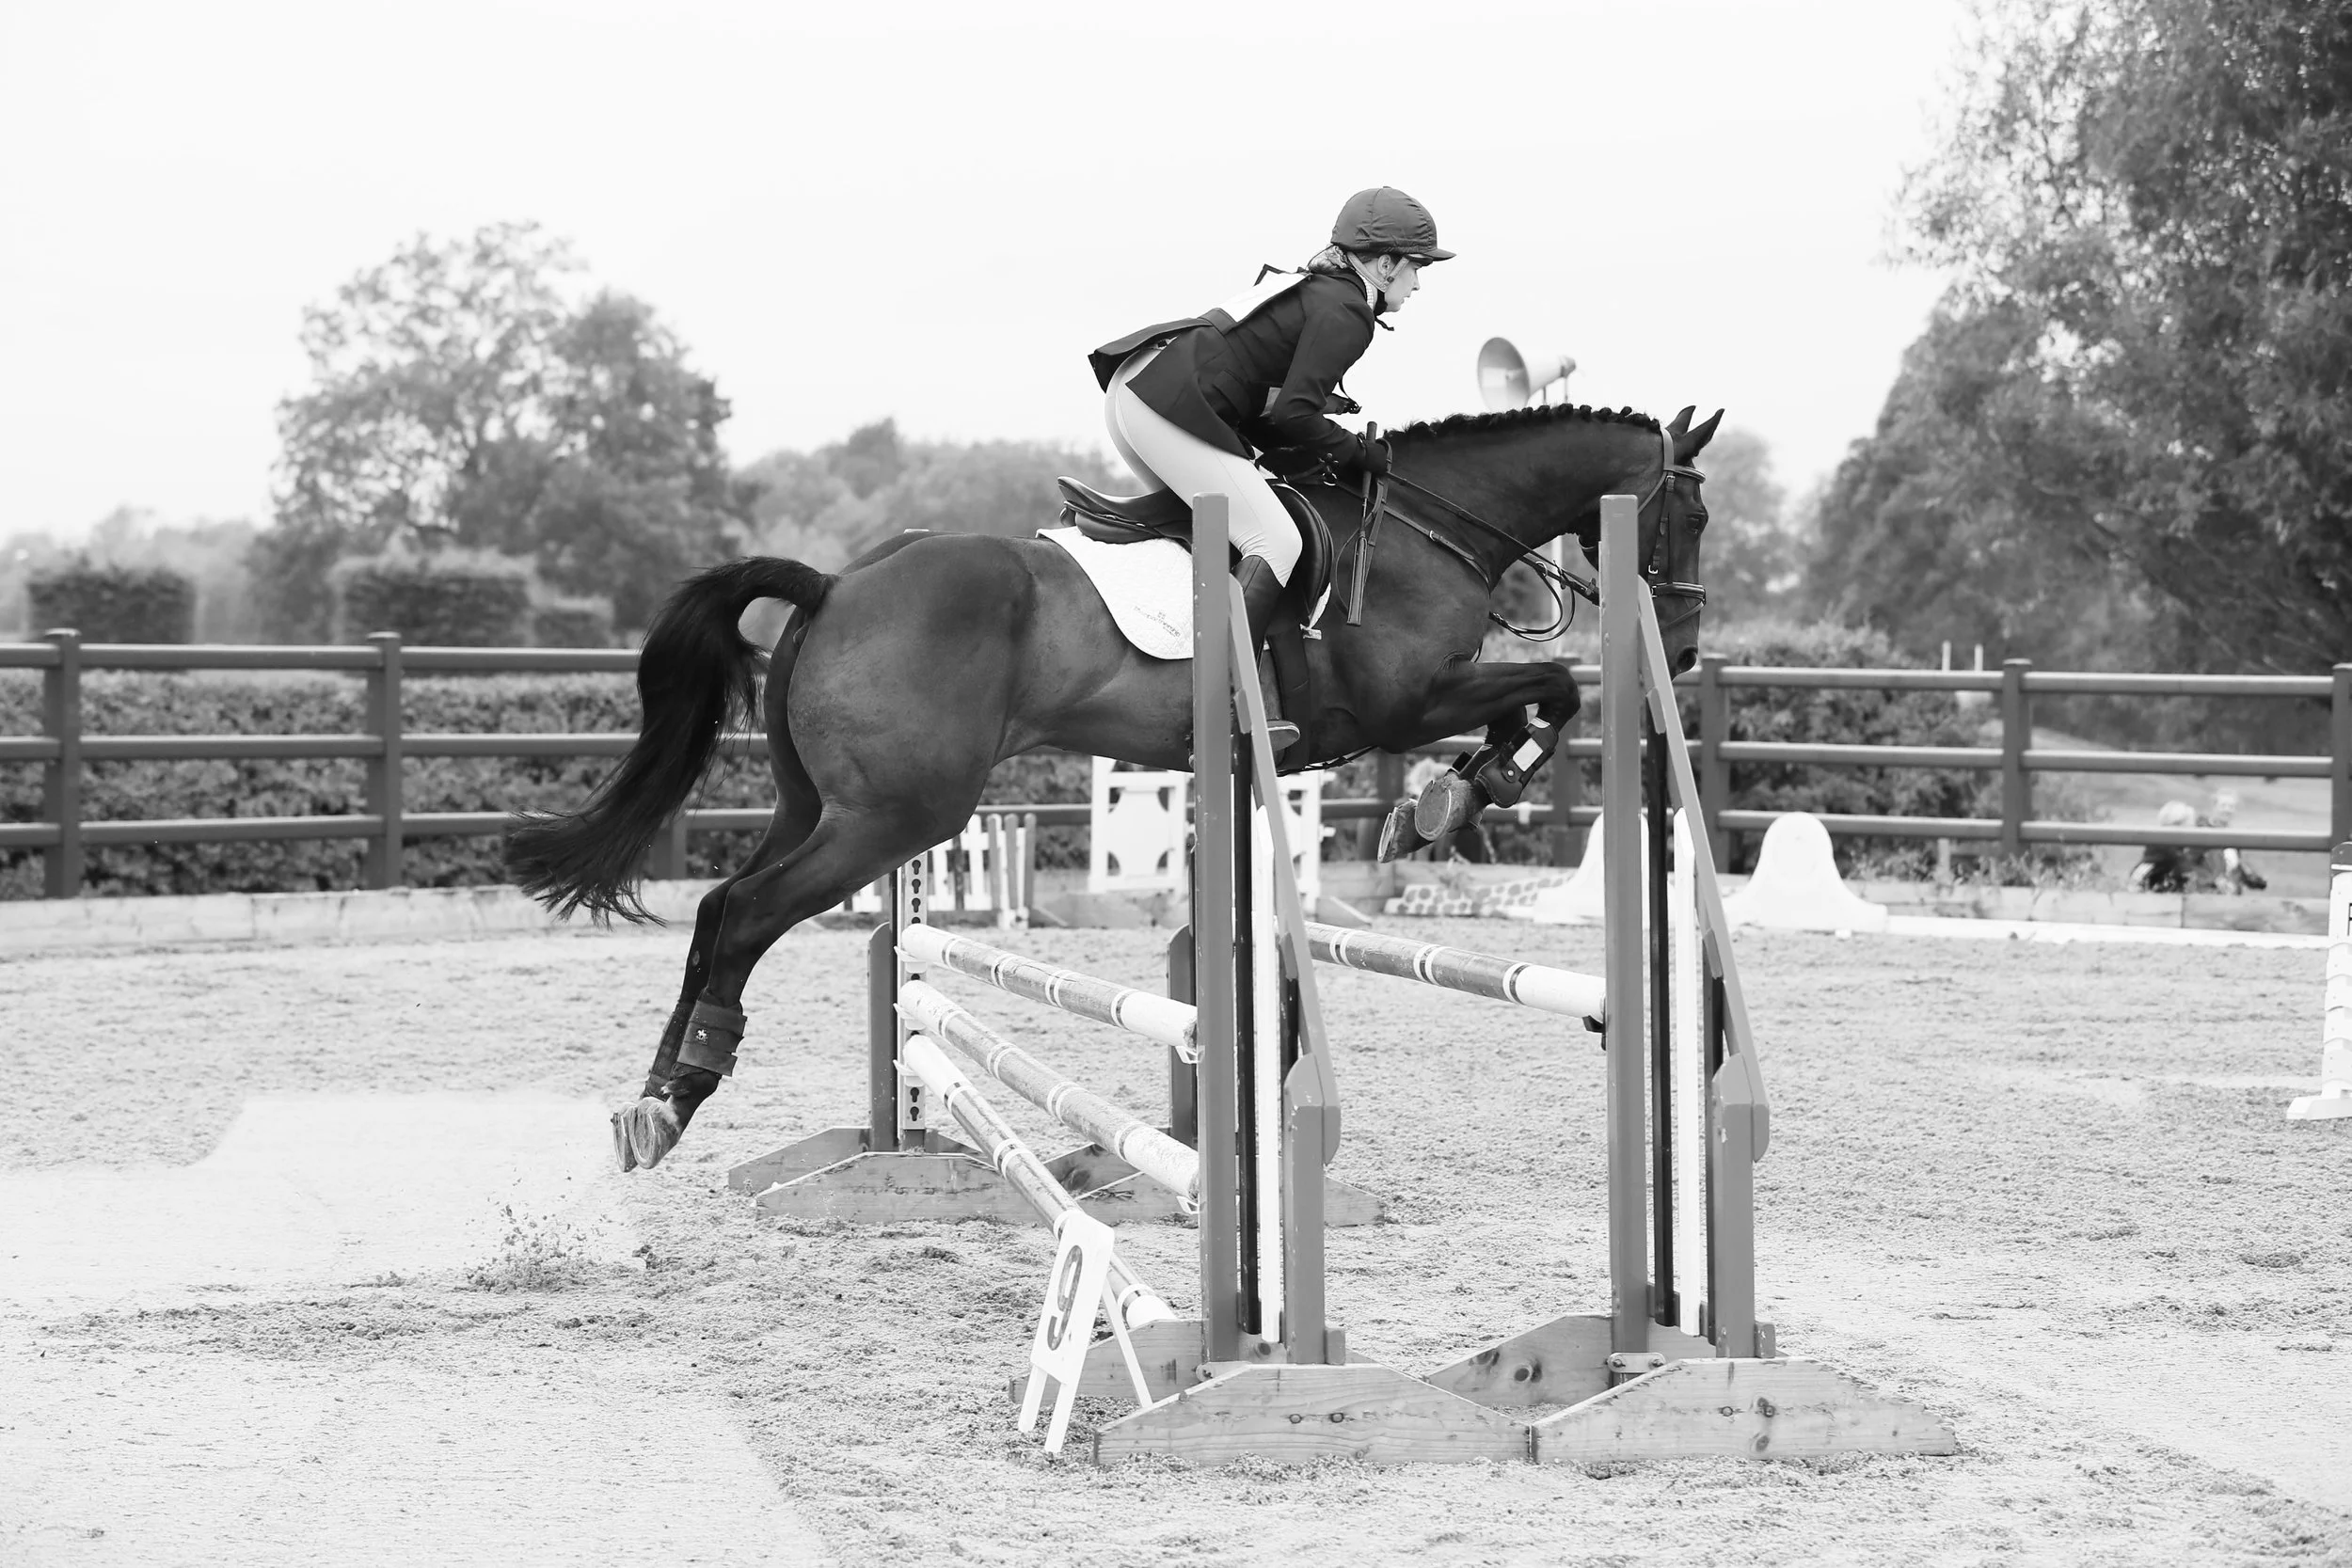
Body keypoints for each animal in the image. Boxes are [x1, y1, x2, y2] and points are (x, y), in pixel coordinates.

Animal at [507, 401, 1721, 1171]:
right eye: (1696, 515)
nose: (1687, 645)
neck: (1433, 522)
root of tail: (836, 580)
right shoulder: (1400, 701)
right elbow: (1549, 689)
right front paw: (1463, 791)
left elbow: (1534, 700)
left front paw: (1456, 795)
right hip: (895, 816)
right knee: (748, 911)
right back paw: (681, 1094)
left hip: (821, 806)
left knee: (720, 907)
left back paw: (653, 1097)